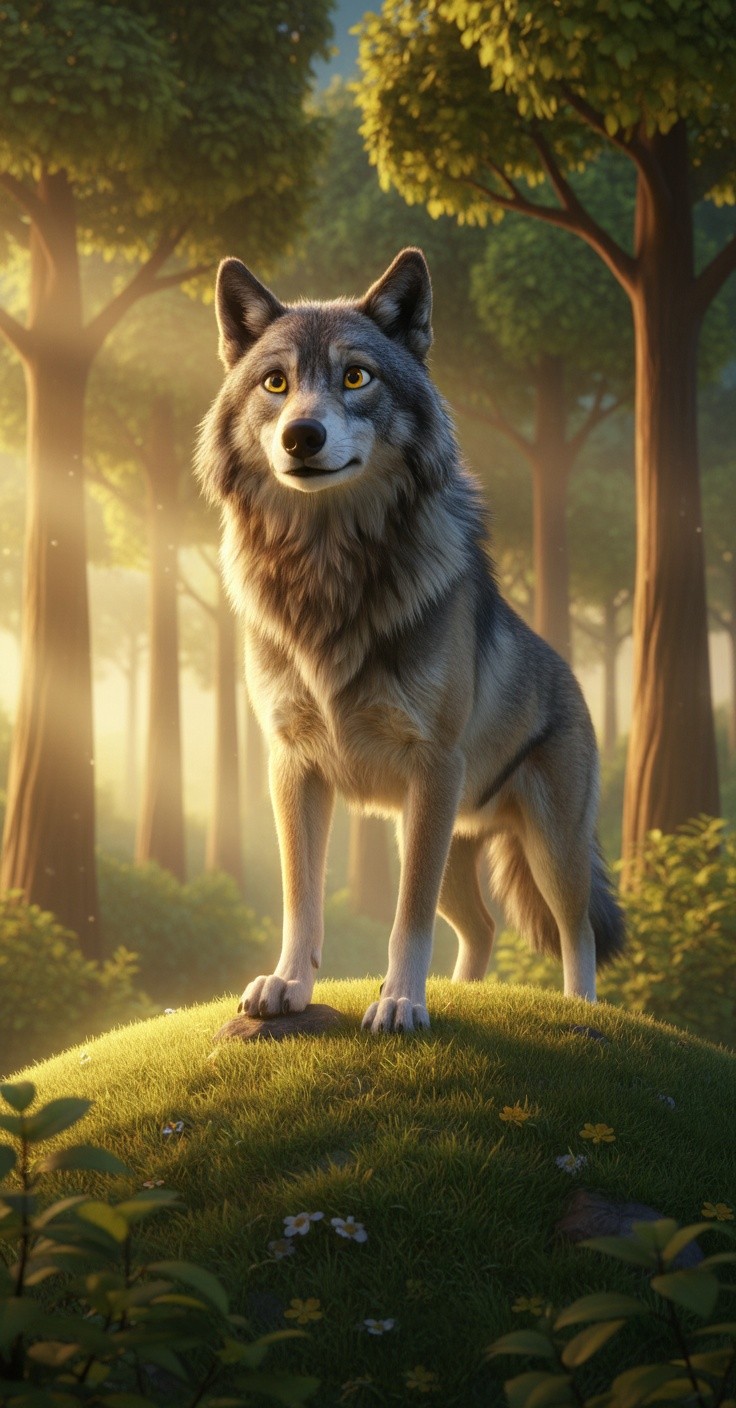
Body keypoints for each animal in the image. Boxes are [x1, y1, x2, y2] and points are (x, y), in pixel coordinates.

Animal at [195, 247, 624, 1034]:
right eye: (276, 383)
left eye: (356, 377)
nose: (302, 436)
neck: (327, 572)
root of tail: (573, 675)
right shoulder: (292, 766)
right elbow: (301, 897)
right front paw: (288, 985)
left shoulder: (432, 768)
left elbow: (406, 916)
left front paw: (398, 1001)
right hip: (450, 841)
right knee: (482, 927)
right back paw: (464, 995)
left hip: (546, 848)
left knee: (574, 931)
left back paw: (580, 1011)